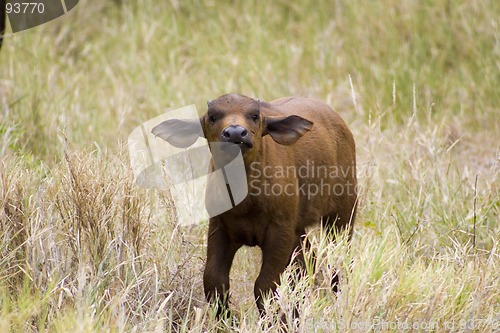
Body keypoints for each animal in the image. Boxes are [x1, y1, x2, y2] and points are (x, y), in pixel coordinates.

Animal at [151, 93, 356, 316]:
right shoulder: (219, 227)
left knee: (339, 260)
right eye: (213, 117)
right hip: (299, 230)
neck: (246, 200)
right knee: (307, 264)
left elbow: (265, 285)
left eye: (255, 115)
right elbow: (214, 280)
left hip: (342, 215)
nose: (235, 133)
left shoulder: (280, 231)